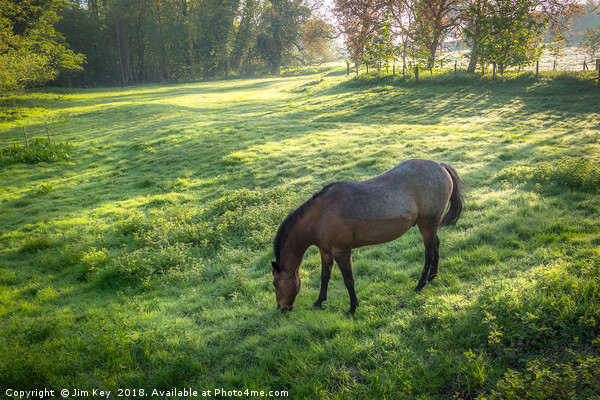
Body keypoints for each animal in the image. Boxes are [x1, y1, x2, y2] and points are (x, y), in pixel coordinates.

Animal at [272, 159, 464, 316]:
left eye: (275, 284)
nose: (281, 308)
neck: (320, 216)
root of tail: (440, 166)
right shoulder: (325, 251)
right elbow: (324, 276)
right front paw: (319, 302)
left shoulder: (342, 252)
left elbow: (348, 280)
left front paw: (352, 308)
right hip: (431, 226)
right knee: (436, 246)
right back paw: (433, 276)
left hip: (427, 225)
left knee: (429, 253)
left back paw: (420, 284)